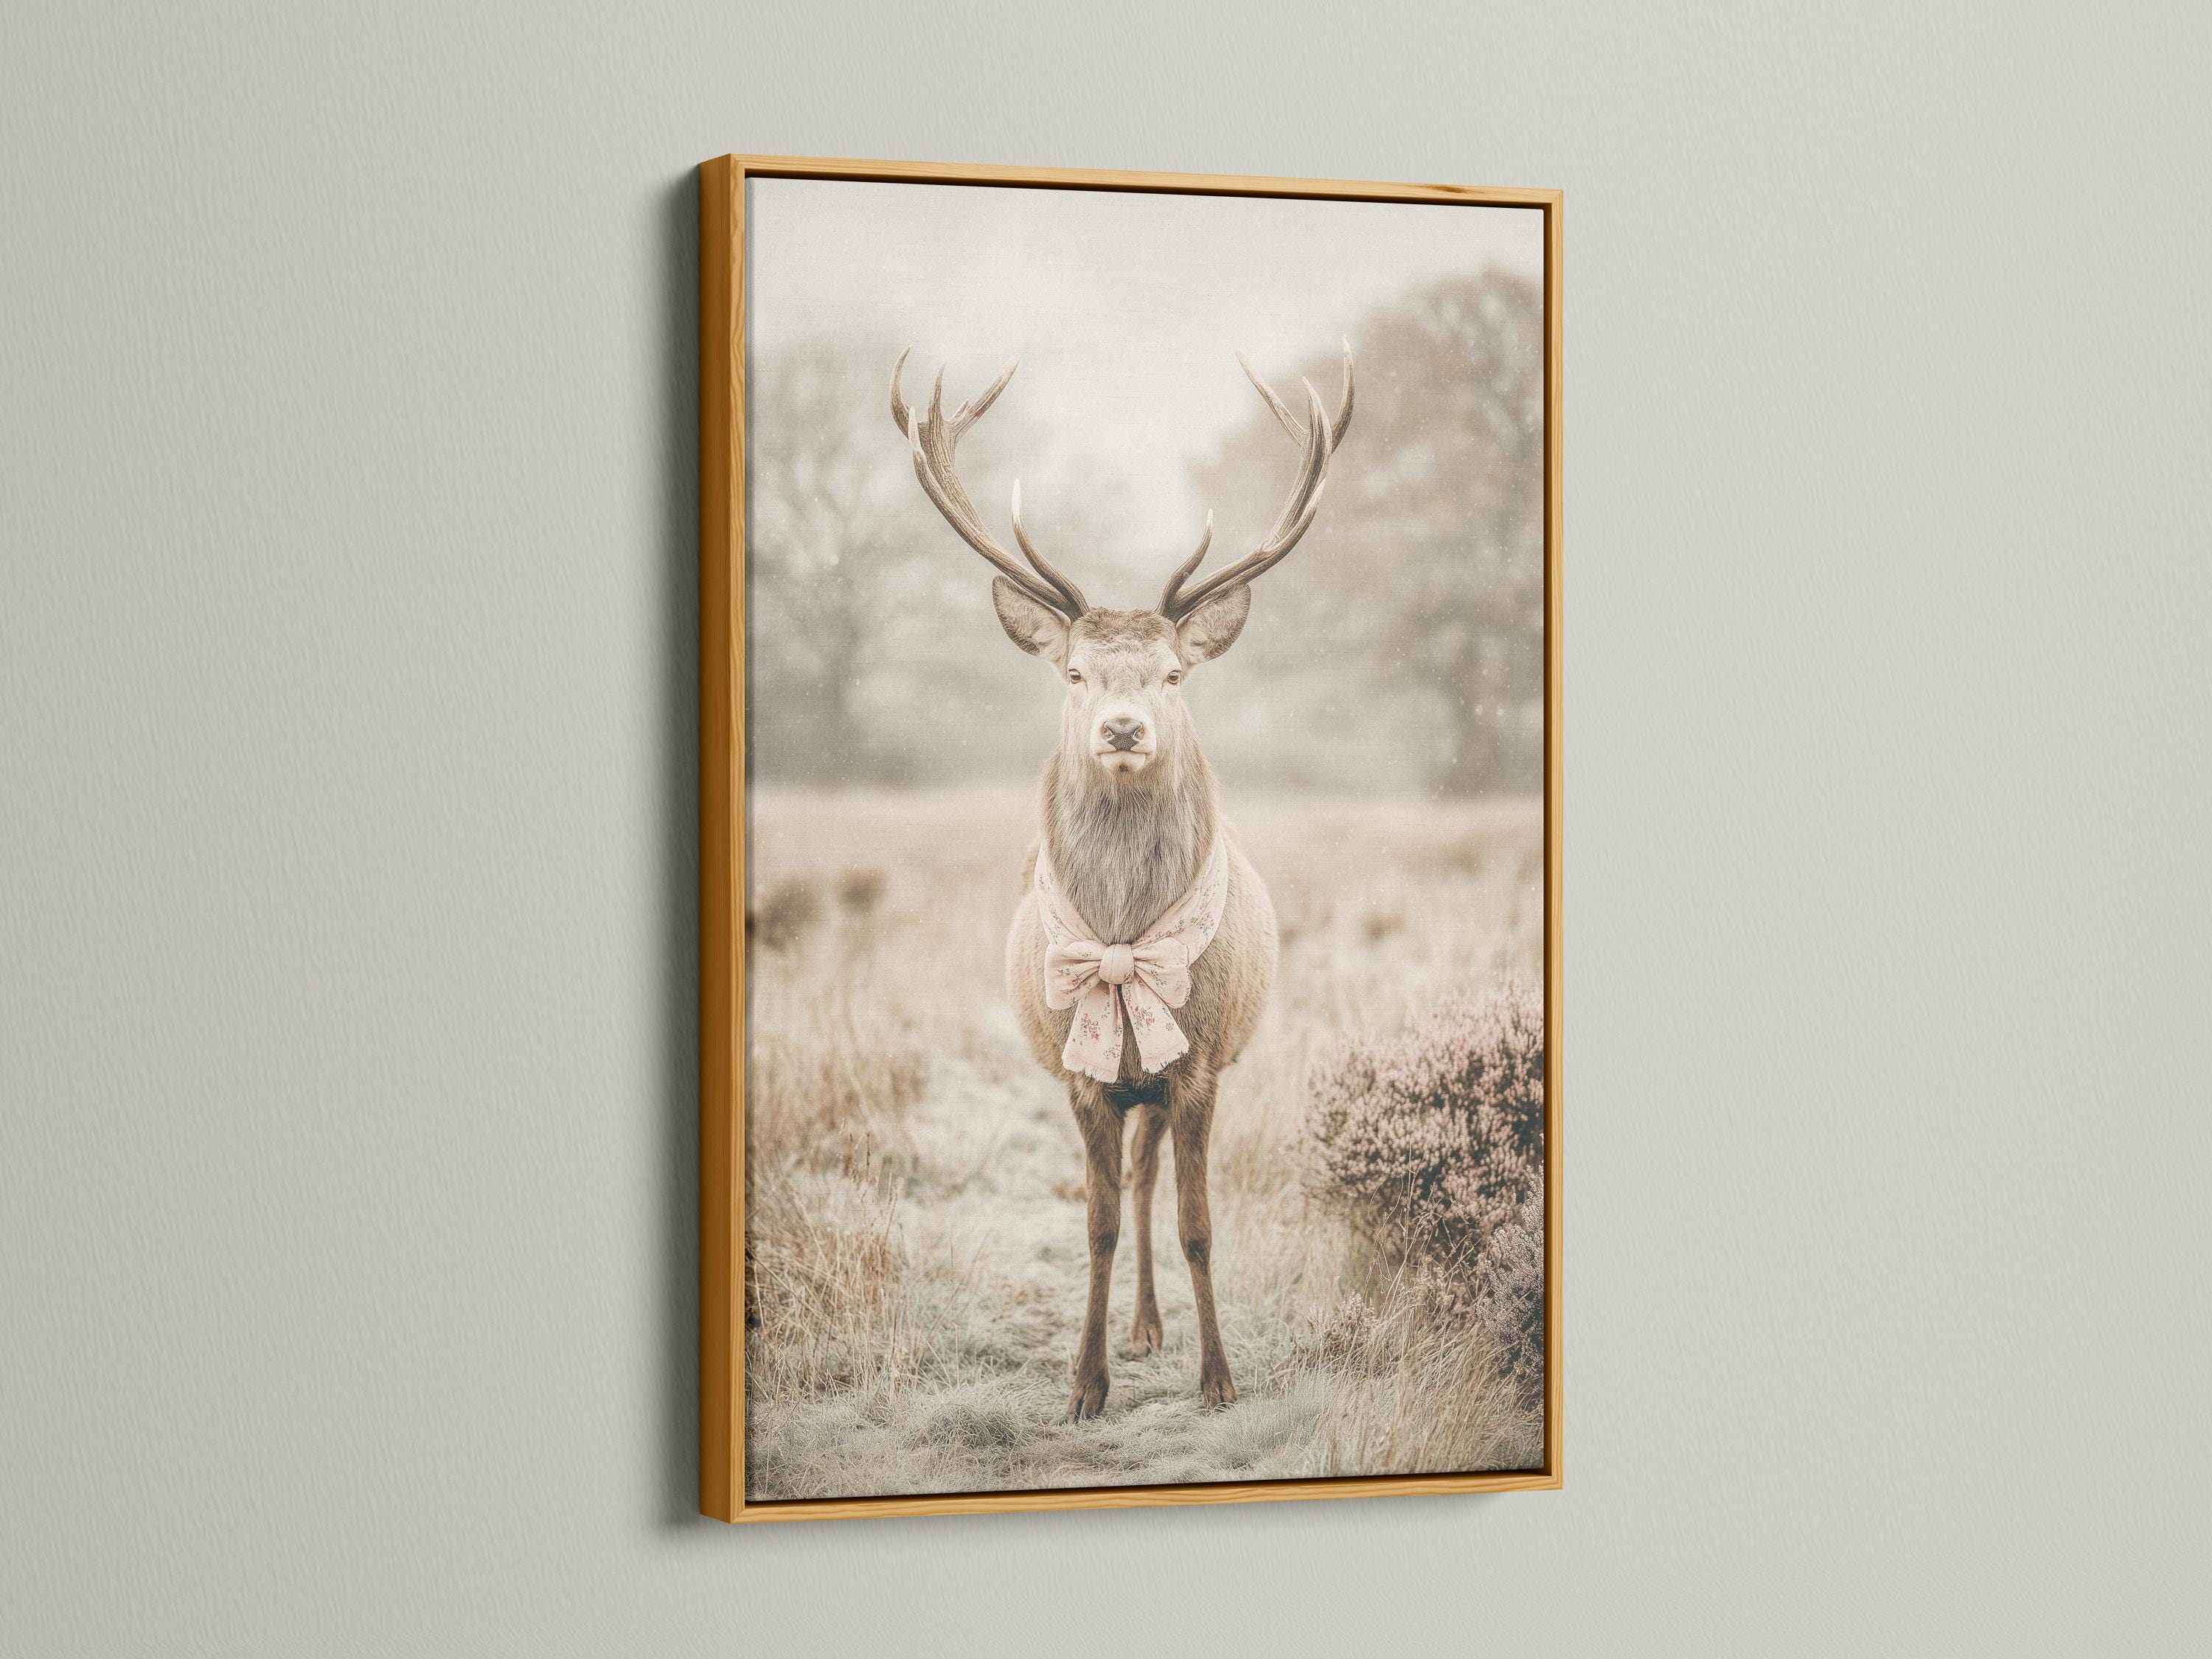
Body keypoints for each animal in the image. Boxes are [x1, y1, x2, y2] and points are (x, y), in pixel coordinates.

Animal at [890, 342, 1353, 1420]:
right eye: (1074, 672)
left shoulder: (1200, 1063)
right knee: (1127, 1191)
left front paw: (1218, 1378)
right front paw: (1084, 1384)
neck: (1123, 939)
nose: (1124, 727)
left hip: (1165, 1074)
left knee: (1150, 1187)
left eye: (1175, 675)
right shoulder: (1081, 1072)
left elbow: (1198, 1225)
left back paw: (1153, 1326)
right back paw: (1132, 1331)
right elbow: (1094, 1223)